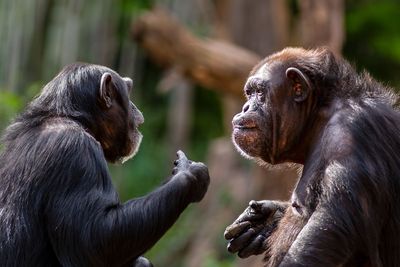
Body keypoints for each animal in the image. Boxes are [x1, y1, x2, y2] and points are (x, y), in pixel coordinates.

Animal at [0, 63, 211, 267]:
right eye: (128, 91)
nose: (135, 107)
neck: (74, 119)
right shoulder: (76, 154)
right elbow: (94, 240)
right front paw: (189, 173)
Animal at [223, 47, 400, 266]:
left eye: (259, 92)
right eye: (249, 93)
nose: (245, 107)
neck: (318, 118)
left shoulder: (350, 137)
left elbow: (331, 228)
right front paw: (265, 221)